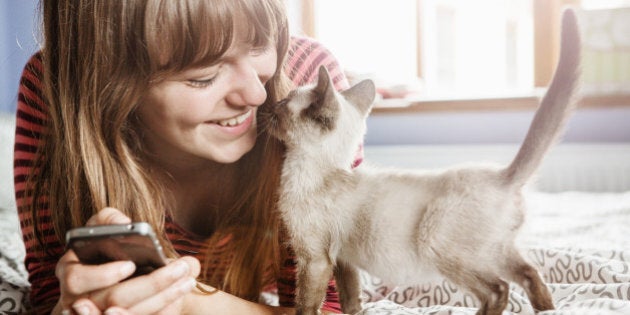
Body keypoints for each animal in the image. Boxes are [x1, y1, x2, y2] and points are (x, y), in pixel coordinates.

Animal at [262, 8, 584, 315]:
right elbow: (351, 298)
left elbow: (305, 304)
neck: (320, 168)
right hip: (497, 251)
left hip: (438, 245)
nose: (271, 104)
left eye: (284, 102)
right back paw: (546, 310)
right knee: (531, 275)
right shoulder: (343, 259)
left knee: (498, 290)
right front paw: (357, 311)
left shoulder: (314, 258)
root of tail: (504, 176)